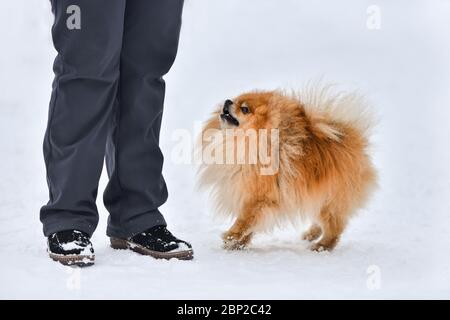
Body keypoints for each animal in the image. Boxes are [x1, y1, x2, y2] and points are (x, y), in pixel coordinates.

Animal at [199, 86, 378, 251]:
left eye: (244, 109)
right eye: (235, 100)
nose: (227, 101)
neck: (244, 141)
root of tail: (352, 139)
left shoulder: (259, 197)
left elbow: (245, 219)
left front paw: (232, 236)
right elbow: (252, 224)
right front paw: (239, 244)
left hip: (330, 200)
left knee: (334, 228)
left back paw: (322, 246)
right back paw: (310, 235)